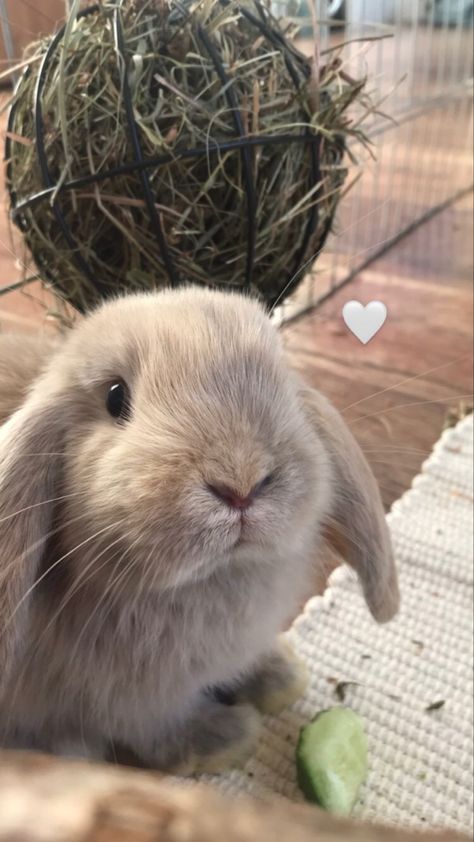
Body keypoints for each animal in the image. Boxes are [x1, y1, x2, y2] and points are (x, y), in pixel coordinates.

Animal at [0, 288, 400, 768]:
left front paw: (280, 677)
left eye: (281, 382)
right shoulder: (127, 704)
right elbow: (158, 731)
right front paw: (227, 737)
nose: (240, 484)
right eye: (116, 398)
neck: (215, 578)